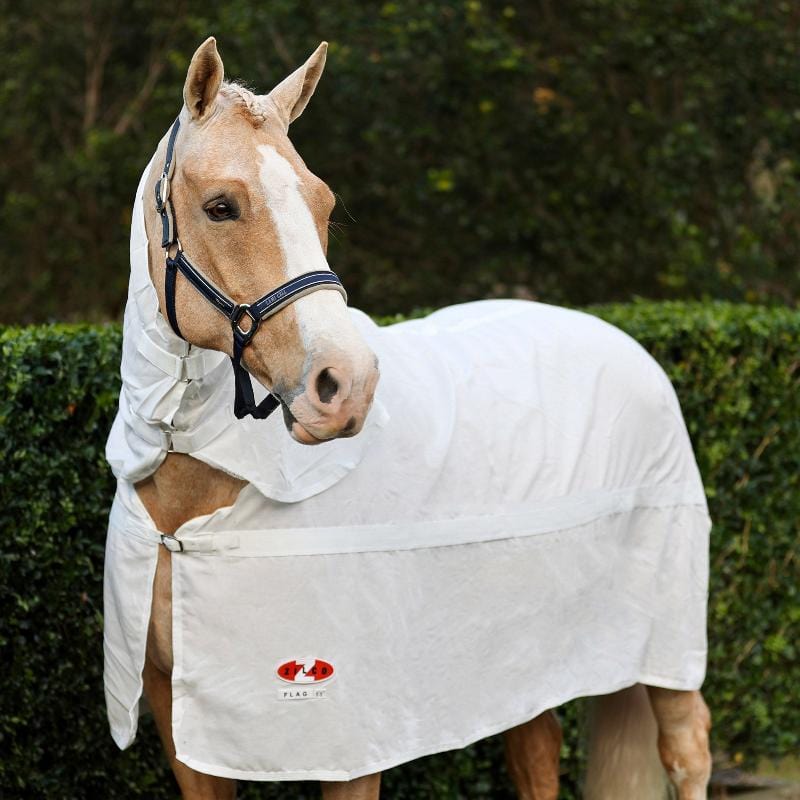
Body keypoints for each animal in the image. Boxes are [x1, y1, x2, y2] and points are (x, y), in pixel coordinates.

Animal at [103, 37, 712, 800]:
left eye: (324, 202)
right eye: (220, 206)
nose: (346, 384)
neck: (195, 501)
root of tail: (626, 342)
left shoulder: (351, 740)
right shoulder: (175, 714)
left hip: (666, 643)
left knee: (687, 750)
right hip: (525, 660)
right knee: (537, 750)